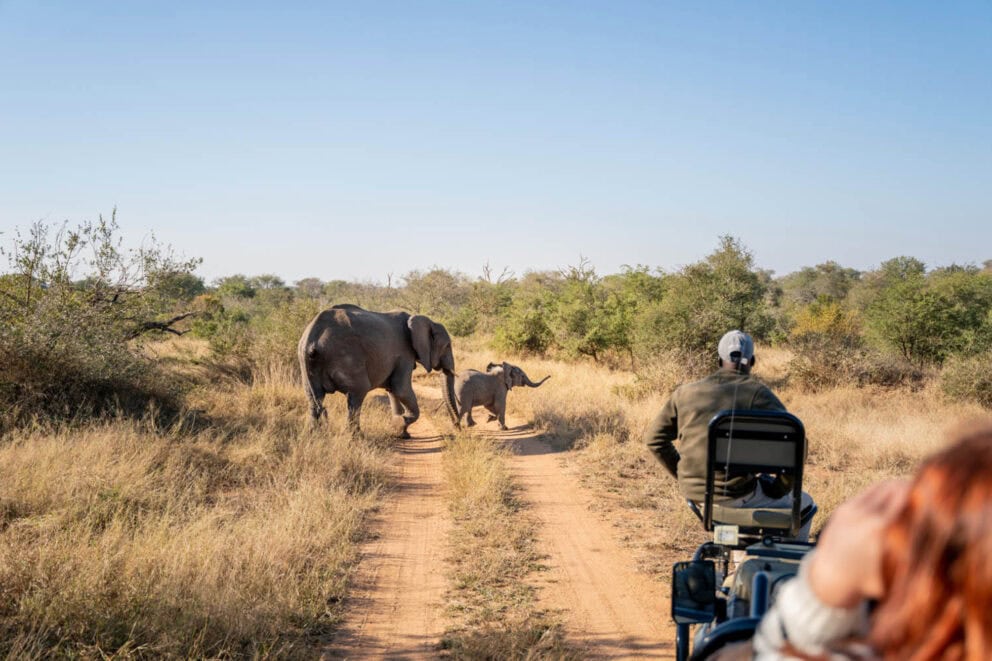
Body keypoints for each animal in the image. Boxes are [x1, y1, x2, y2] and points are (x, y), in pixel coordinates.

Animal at [298, 304, 459, 438]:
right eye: (447, 346)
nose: (457, 427)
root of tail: (312, 337)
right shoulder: (404, 354)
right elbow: (401, 389)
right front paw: (398, 424)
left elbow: (393, 391)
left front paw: (401, 433)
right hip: (346, 357)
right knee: (357, 394)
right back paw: (357, 438)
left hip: (305, 364)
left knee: (314, 398)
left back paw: (313, 436)